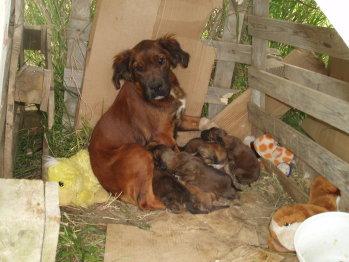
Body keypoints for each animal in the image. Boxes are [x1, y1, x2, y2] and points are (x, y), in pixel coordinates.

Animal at [89, 35, 207, 210]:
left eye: (161, 60)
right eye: (138, 68)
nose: (155, 87)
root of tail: (113, 192)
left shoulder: (179, 119)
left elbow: (203, 120)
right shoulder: (163, 134)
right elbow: (177, 154)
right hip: (140, 153)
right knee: (145, 201)